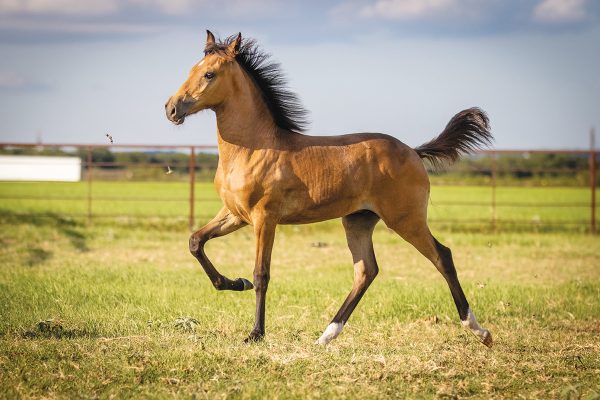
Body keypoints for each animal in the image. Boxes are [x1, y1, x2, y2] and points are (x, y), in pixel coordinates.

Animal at [164, 31, 492, 346]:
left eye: (209, 74)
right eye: (192, 69)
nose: (171, 108)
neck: (253, 148)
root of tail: (413, 151)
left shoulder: (264, 219)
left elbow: (261, 274)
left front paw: (255, 333)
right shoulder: (235, 214)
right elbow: (196, 242)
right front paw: (234, 283)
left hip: (405, 220)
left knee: (442, 256)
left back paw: (479, 330)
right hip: (358, 221)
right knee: (366, 271)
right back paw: (326, 335)